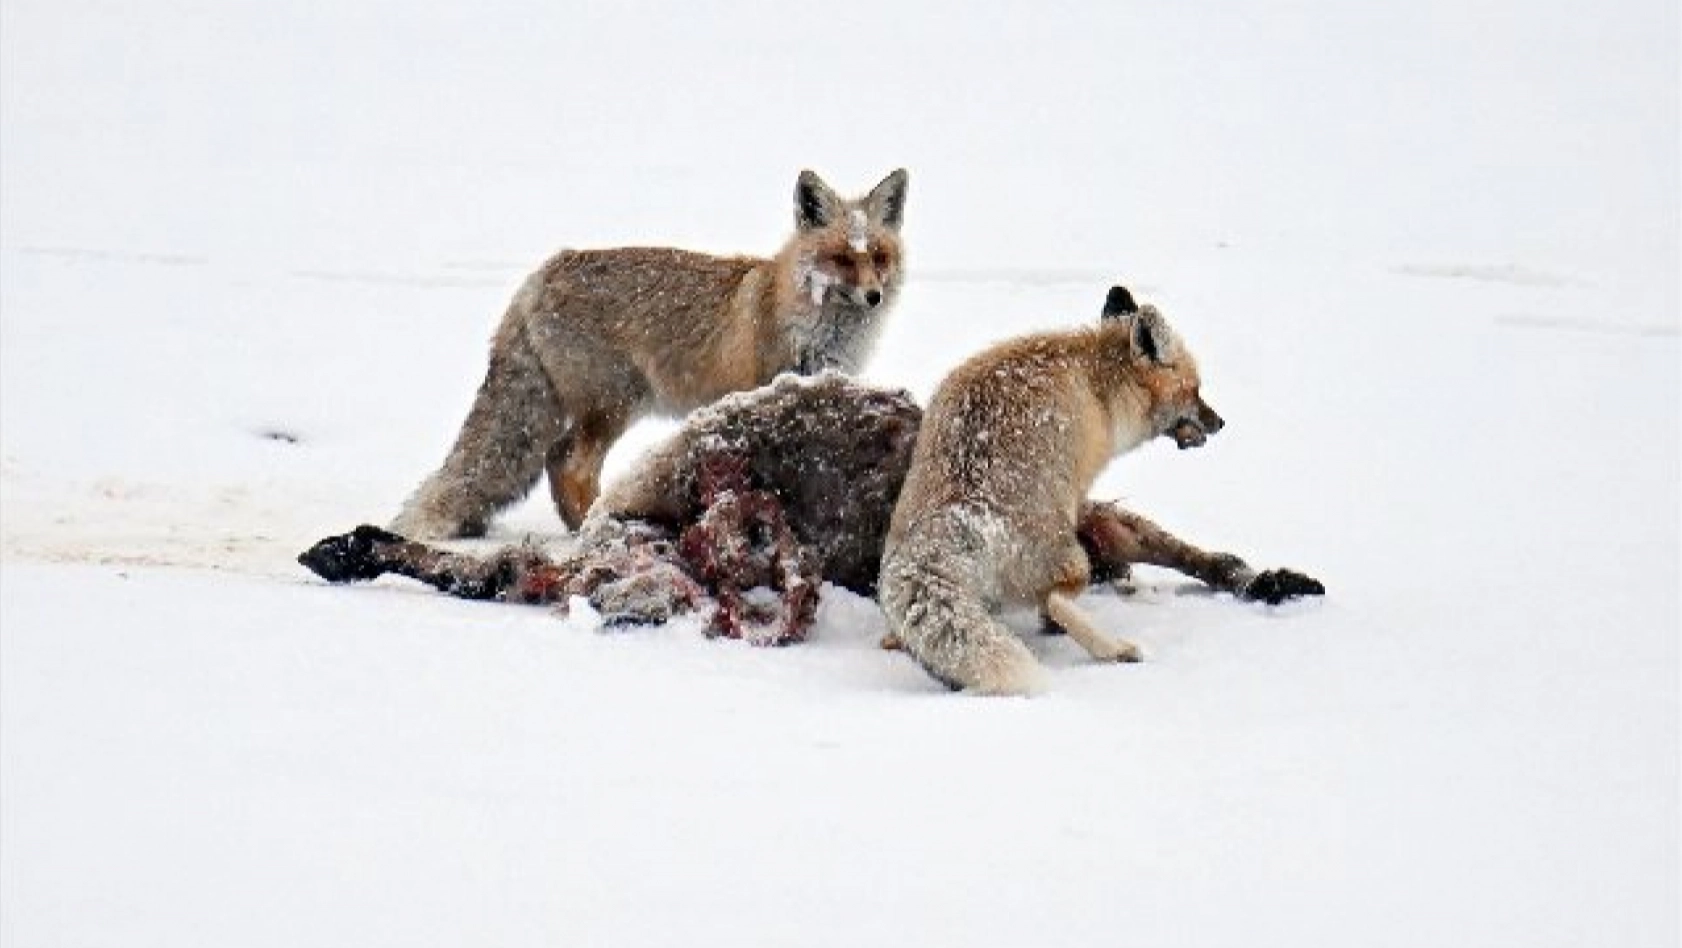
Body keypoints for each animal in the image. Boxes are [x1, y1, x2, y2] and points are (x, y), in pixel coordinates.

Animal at [388, 168, 915, 541]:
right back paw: (596, 528)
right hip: (614, 405)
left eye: (879, 258)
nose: (874, 296)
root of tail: (541, 274)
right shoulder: (761, 389)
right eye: (842, 259)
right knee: (570, 466)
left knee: (554, 459)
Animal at [881, 285, 1224, 692]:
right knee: (1056, 600)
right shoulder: (1078, 488)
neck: (1099, 387)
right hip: (1075, 559)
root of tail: (958, 510)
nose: (1221, 422)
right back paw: (1114, 651)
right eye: (1195, 390)